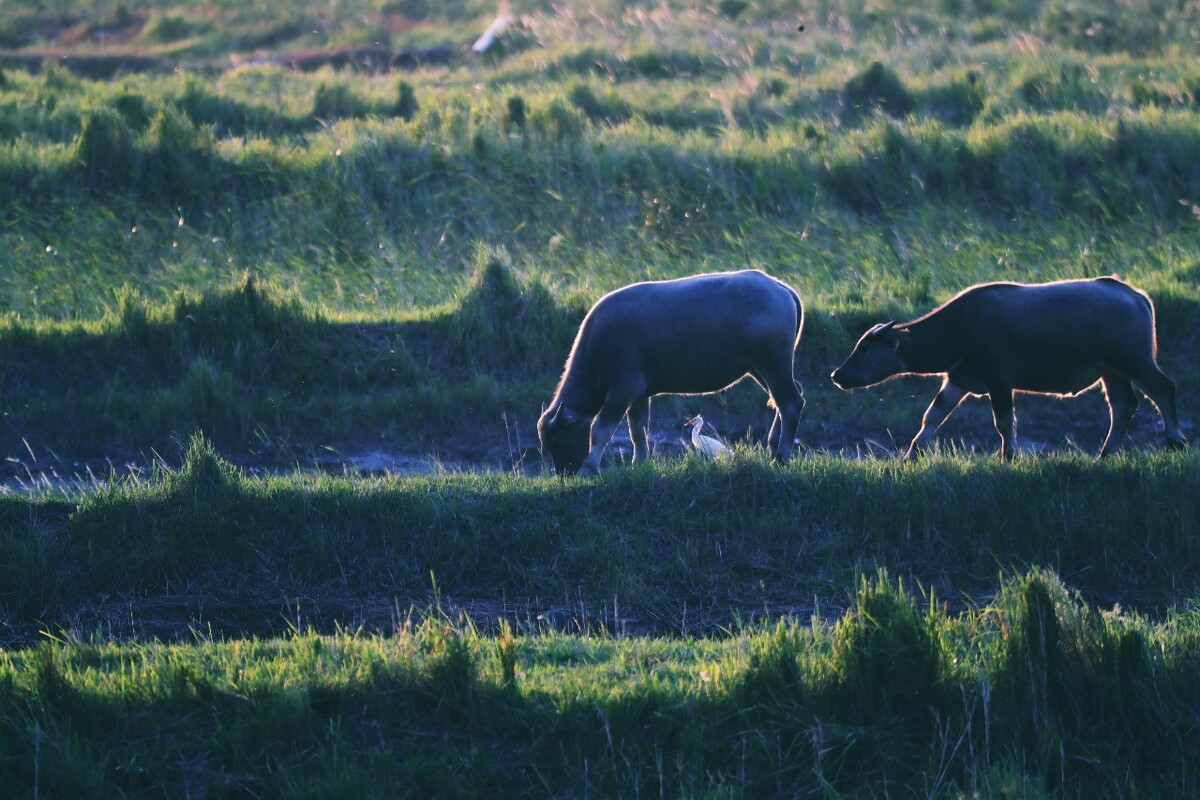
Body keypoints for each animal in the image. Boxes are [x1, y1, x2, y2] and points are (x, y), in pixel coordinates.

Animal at [537, 272, 806, 479]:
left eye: (557, 439)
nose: (564, 473)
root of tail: (780, 288)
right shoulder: (639, 396)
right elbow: (638, 431)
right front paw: (639, 463)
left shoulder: (622, 391)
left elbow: (601, 429)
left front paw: (588, 468)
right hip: (760, 369)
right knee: (786, 398)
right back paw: (773, 447)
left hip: (774, 365)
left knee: (791, 403)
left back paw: (781, 456)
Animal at [830, 278, 1185, 460]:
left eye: (864, 349)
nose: (837, 375)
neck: (962, 328)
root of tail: (1135, 295)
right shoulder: (958, 379)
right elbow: (932, 416)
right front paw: (910, 455)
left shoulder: (999, 381)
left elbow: (1003, 423)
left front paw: (1009, 455)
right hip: (1112, 373)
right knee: (1124, 406)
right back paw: (1105, 454)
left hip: (1135, 362)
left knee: (1164, 388)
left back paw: (1175, 440)